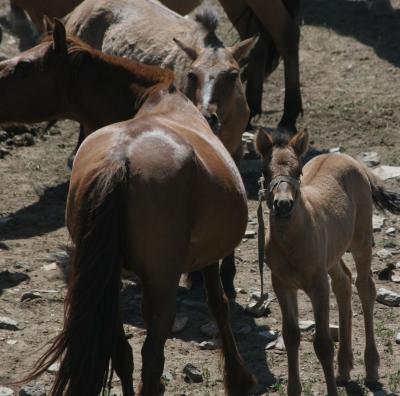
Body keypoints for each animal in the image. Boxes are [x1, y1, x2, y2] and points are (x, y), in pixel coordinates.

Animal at [8, 20, 256, 396]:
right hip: (161, 283)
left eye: (23, 66)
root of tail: (119, 158)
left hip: (106, 280)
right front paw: (239, 378)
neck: (157, 96)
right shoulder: (205, 259)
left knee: (122, 351)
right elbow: (219, 305)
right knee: (151, 358)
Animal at [255, 128, 400, 394]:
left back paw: (371, 368)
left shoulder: (318, 284)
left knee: (365, 288)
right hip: (332, 255)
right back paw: (343, 369)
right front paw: (294, 389)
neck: (291, 242)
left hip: (361, 242)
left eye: (298, 171)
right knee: (343, 283)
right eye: (265, 171)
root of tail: (351, 160)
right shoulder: (281, 284)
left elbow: (322, 344)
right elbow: (290, 335)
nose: (283, 205)